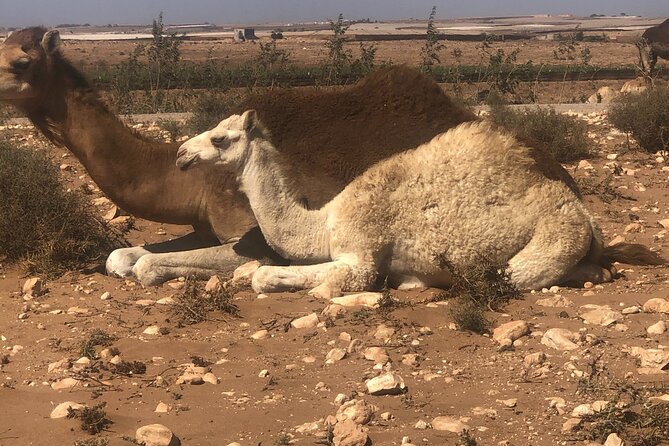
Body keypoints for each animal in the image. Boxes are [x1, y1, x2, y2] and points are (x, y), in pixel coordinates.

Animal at [0, 27, 480, 284]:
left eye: (21, 62)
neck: (187, 182)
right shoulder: (202, 224)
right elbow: (120, 257)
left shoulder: (251, 236)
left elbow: (148, 265)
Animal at [176, 110, 664, 294]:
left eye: (221, 138)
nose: (181, 153)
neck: (323, 221)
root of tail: (588, 218)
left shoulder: (362, 256)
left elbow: (271, 277)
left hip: (549, 241)